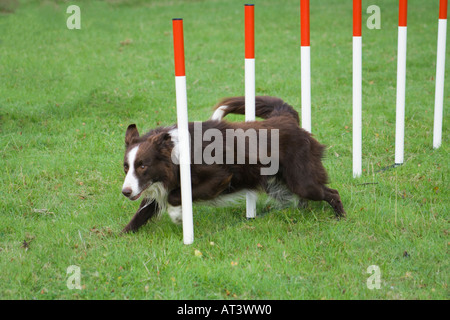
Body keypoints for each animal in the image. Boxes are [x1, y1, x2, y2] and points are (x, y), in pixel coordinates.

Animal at [119, 95, 344, 232]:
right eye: (126, 167)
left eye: (143, 166)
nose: (125, 192)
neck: (176, 152)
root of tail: (286, 118)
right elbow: (142, 211)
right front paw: (122, 236)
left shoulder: (219, 177)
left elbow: (174, 196)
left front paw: (177, 216)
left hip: (301, 180)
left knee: (331, 193)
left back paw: (340, 217)